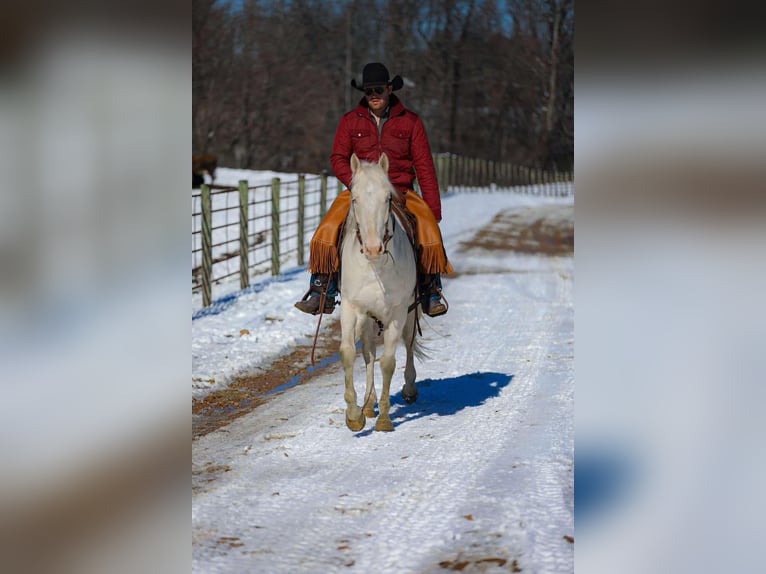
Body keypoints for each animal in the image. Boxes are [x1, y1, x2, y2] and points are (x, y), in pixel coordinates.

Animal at [339, 153, 423, 432]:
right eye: (355, 198)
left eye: (388, 198)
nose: (374, 247)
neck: (375, 266)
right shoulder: (351, 307)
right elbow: (349, 353)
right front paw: (354, 414)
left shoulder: (397, 312)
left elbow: (388, 361)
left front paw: (385, 418)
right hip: (367, 318)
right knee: (367, 353)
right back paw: (368, 402)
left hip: (410, 313)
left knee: (408, 344)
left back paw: (409, 389)